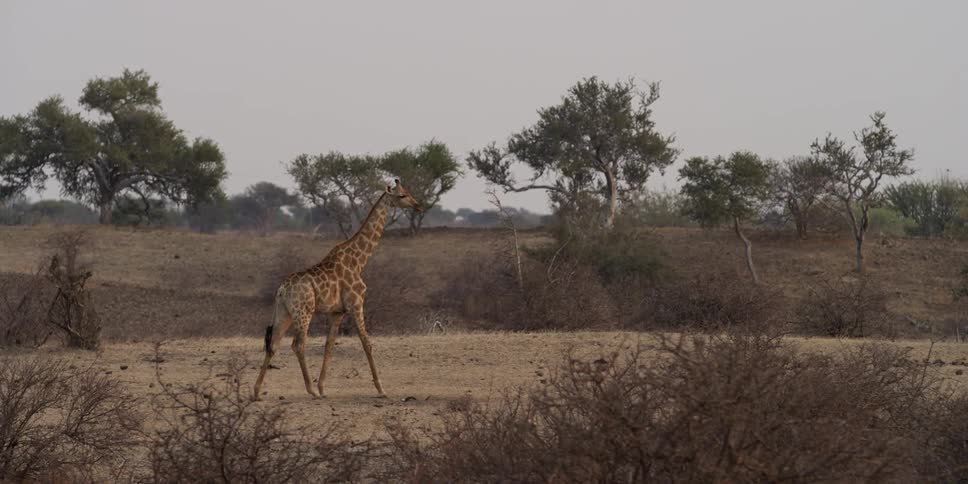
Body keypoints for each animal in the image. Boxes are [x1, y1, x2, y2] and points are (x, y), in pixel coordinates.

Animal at [253, 179, 421, 400]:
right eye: (402, 195)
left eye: (408, 191)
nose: (418, 205)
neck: (359, 261)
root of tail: (281, 289)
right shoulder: (356, 305)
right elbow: (367, 343)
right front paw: (381, 389)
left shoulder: (337, 312)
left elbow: (329, 345)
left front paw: (323, 387)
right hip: (304, 311)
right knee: (298, 344)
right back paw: (310, 390)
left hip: (284, 312)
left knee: (273, 344)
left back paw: (256, 391)